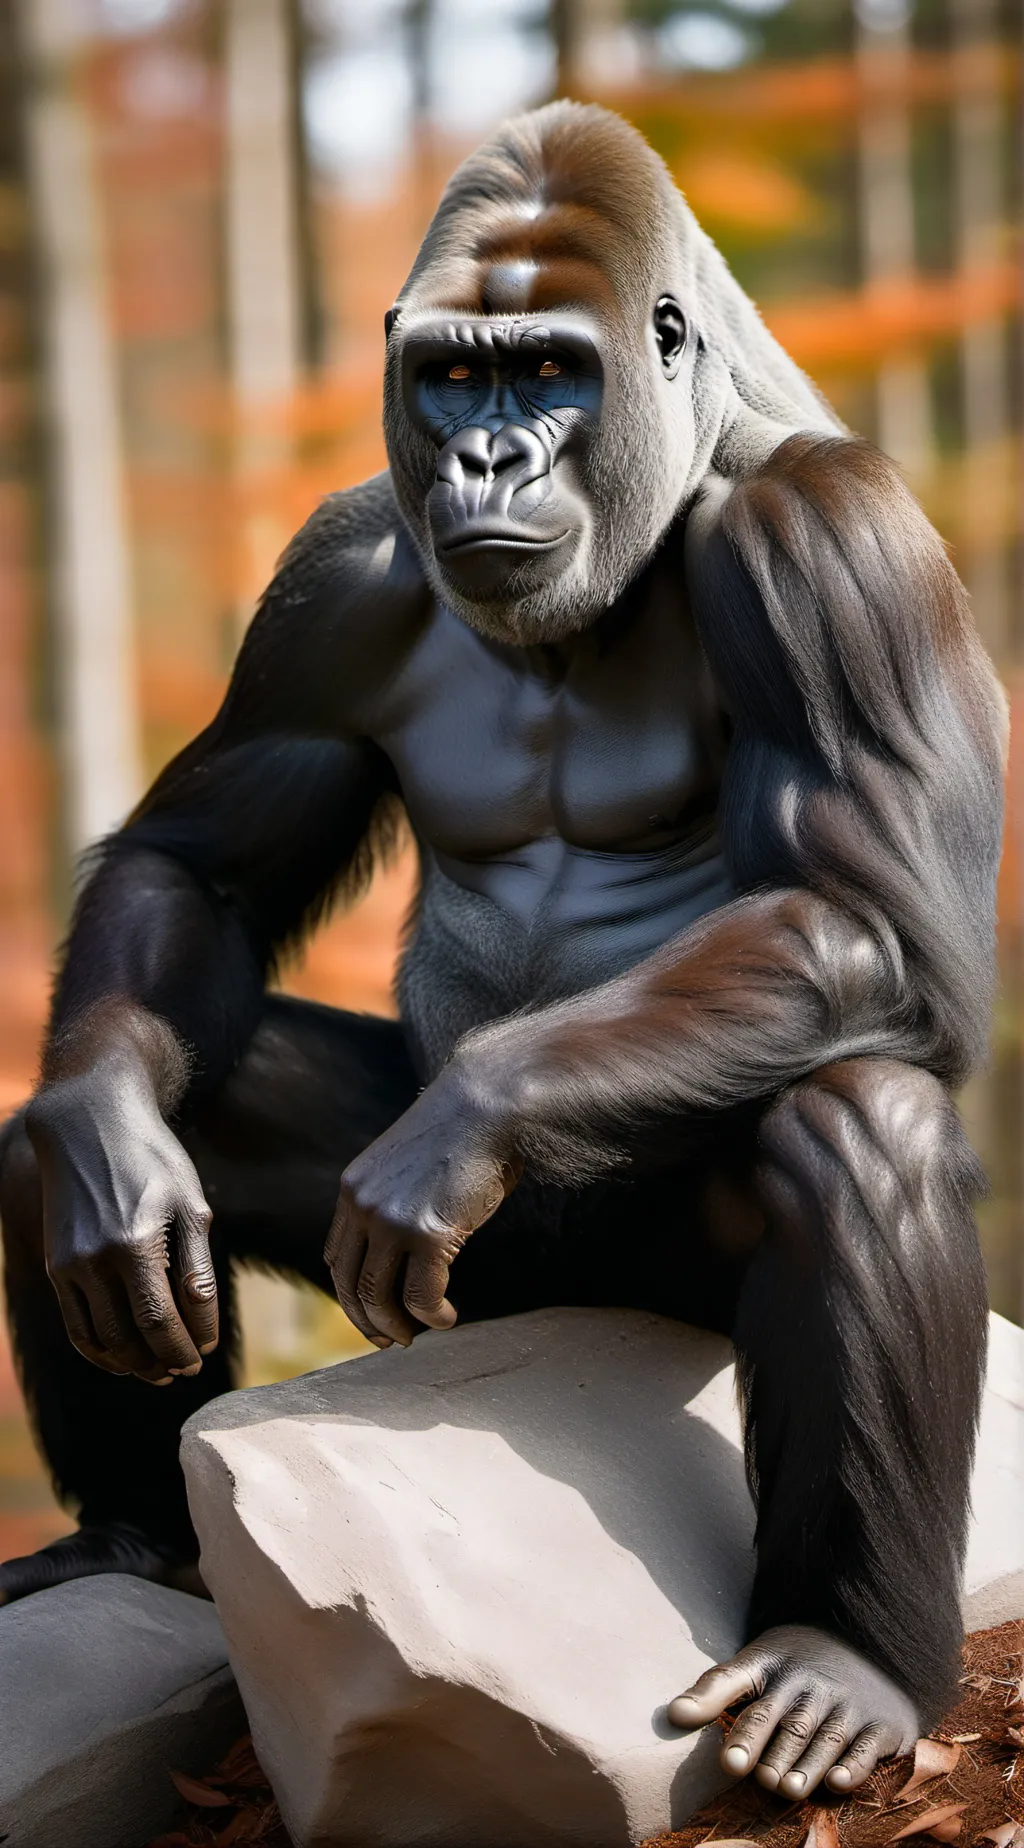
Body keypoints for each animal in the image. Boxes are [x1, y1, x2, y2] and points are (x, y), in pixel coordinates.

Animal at [0, 103, 1006, 1801]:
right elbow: (194, 869)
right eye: (455, 379)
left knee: (856, 1123)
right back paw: (130, 1522)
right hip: (511, 1282)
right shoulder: (334, 571)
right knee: (109, 1125)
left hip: (636, 1290)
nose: (484, 456)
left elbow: (877, 919)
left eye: (549, 372)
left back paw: (846, 1657)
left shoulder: (831, 542)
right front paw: (103, 1160)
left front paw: (469, 1120)